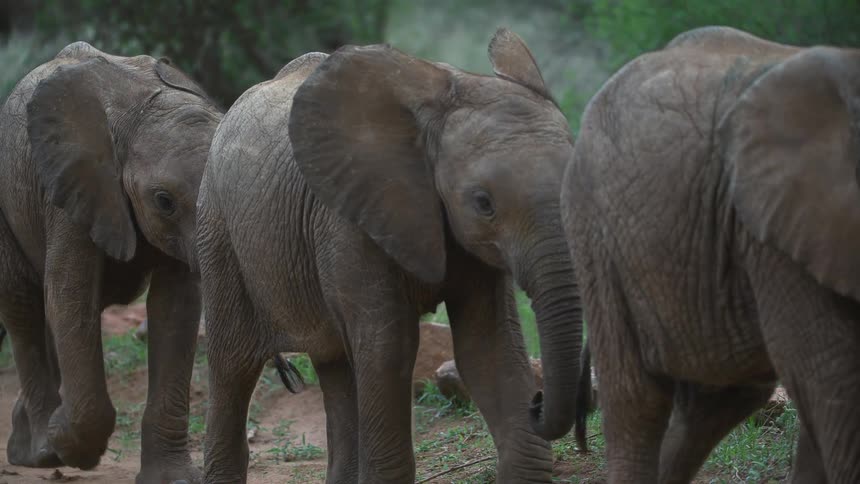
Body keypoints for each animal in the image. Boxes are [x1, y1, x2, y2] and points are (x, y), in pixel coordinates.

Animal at [0, 42, 222, 482]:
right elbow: (69, 293)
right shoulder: (71, 183)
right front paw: (69, 446)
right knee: (23, 306)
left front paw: (172, 478)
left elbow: (175, 307)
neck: (139, 114)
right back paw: (42, 453)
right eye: (164, 201)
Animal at [196, 28, 582, 483]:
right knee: (232, 365)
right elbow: (388, 347)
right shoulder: (349, 219)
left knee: (335, 366)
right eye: (483, 203)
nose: (538, 404)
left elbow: (488, 345)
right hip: (217, 229)